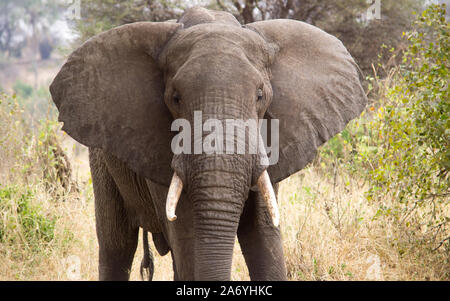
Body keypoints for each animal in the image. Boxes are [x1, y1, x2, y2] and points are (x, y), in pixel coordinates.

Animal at [49, 6, 368, 278]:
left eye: (260, 96)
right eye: (175, 98)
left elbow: (263, 234)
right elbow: (188, 235)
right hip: (100, 158)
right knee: (117, 245)